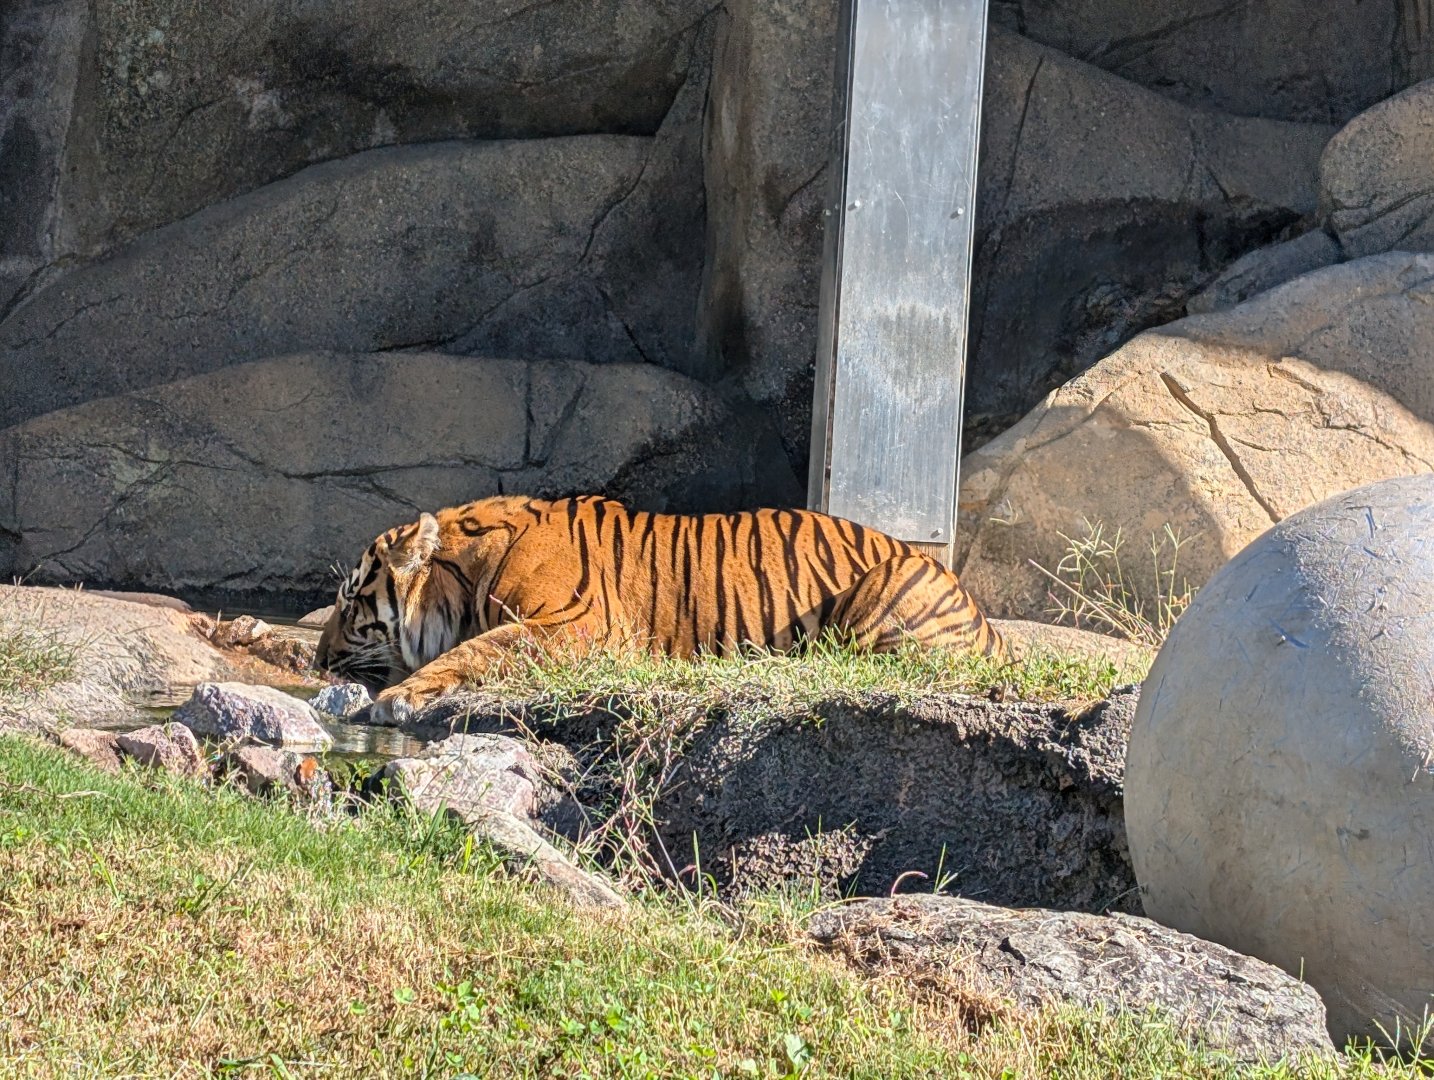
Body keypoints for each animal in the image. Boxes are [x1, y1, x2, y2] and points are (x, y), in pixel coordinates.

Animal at [314, 494, 1007, 724]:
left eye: (350, 604)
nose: (318, 664)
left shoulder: (575, 626)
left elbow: (478, 647)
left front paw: (396, 698)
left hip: (885, 587)